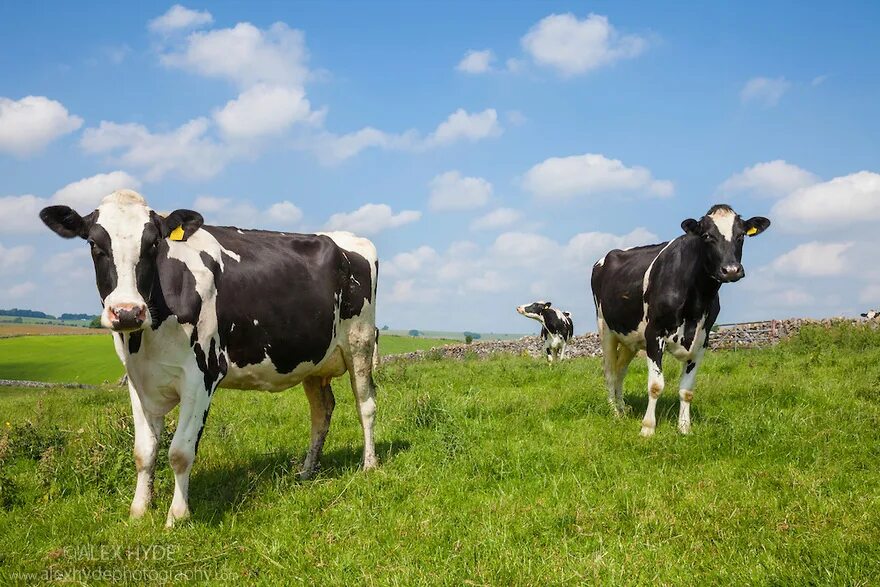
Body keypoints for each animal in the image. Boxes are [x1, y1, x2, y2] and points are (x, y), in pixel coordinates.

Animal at [39, 190, 379, 526]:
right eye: (94, 244)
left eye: (153, 244)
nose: (126, 312)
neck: (148, 336)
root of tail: (349, 239)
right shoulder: (138, 379)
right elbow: (144, 451)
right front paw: (138, 511)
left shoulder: (203, 374)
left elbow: (180, 452)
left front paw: (177, 516)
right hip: (313, 361)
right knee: (321, 411)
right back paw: (307, 471)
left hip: (360, 342)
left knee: (366, 405)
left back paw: (369, 464)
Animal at [591, 204, 770, 437]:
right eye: (707, 236)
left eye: (740, 236)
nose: (731, 270)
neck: (695, 299)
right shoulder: (654, 334)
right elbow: (655, 385)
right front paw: (647, 428)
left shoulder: (702, 341)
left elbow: (687, 390)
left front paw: (684, 428)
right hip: (606, 330)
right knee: (610, 372)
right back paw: (615, 412)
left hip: (630, 338)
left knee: (620, 371)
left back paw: (622, 408)